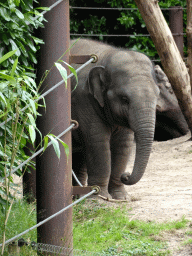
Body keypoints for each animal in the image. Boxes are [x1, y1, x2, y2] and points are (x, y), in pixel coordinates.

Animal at [71, 39, 160, 201]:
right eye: (124, 99)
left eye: (158, 96)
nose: (126, 175)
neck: (108, 55)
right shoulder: (84, 101)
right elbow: (98, 142)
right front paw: (101, 197)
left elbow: (123, 144)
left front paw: (121, 198)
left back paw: (78, 196)